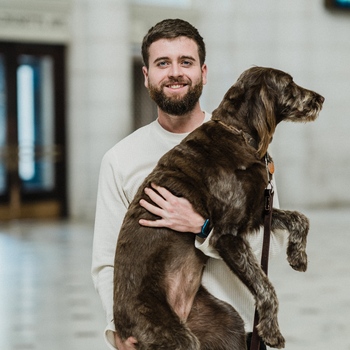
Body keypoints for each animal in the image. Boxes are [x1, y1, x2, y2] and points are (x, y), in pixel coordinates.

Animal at [113, 66, 324, 350]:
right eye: (289, 84)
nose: (321, 99)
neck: (238, 134)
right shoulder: (227, 235)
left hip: (227, 324)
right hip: (173, 335)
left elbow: (300, 218)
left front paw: (298, 256)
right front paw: (271, 330)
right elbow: (265, 286)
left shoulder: (257, 214)